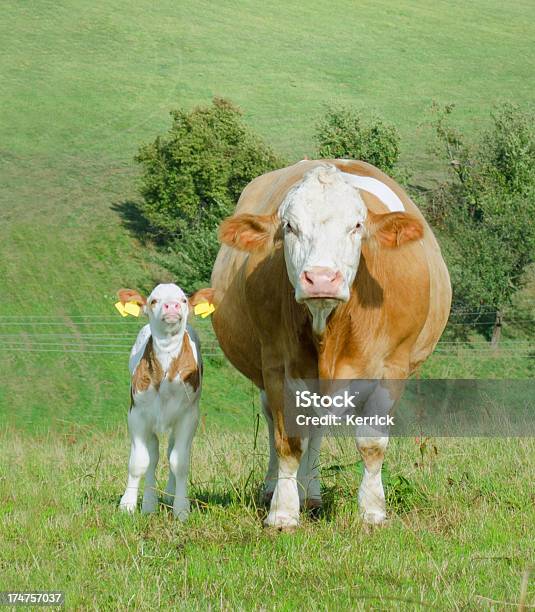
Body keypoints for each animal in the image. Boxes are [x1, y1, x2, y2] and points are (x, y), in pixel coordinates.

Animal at [118, 284, 213, 520]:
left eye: (184, 300)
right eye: (154, 300)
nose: (172, 305)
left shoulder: (189, 416)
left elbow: (179, 462)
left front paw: (181, 509)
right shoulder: (137, 415)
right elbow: (138, 462)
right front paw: (128, 505)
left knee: (170, 451)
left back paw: (169, 496)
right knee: (153, 455)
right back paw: (149, 504)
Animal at [210, 160, 452, 528]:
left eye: (356, 225)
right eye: (290, 226)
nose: (321, 278)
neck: (328, 327)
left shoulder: (392, 368)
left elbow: (372, 443)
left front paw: (372, 511)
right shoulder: (277, 366)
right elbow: (287, 441)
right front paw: (282, 513)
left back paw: (311, 495)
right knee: (279, 424)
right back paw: (278, 491)